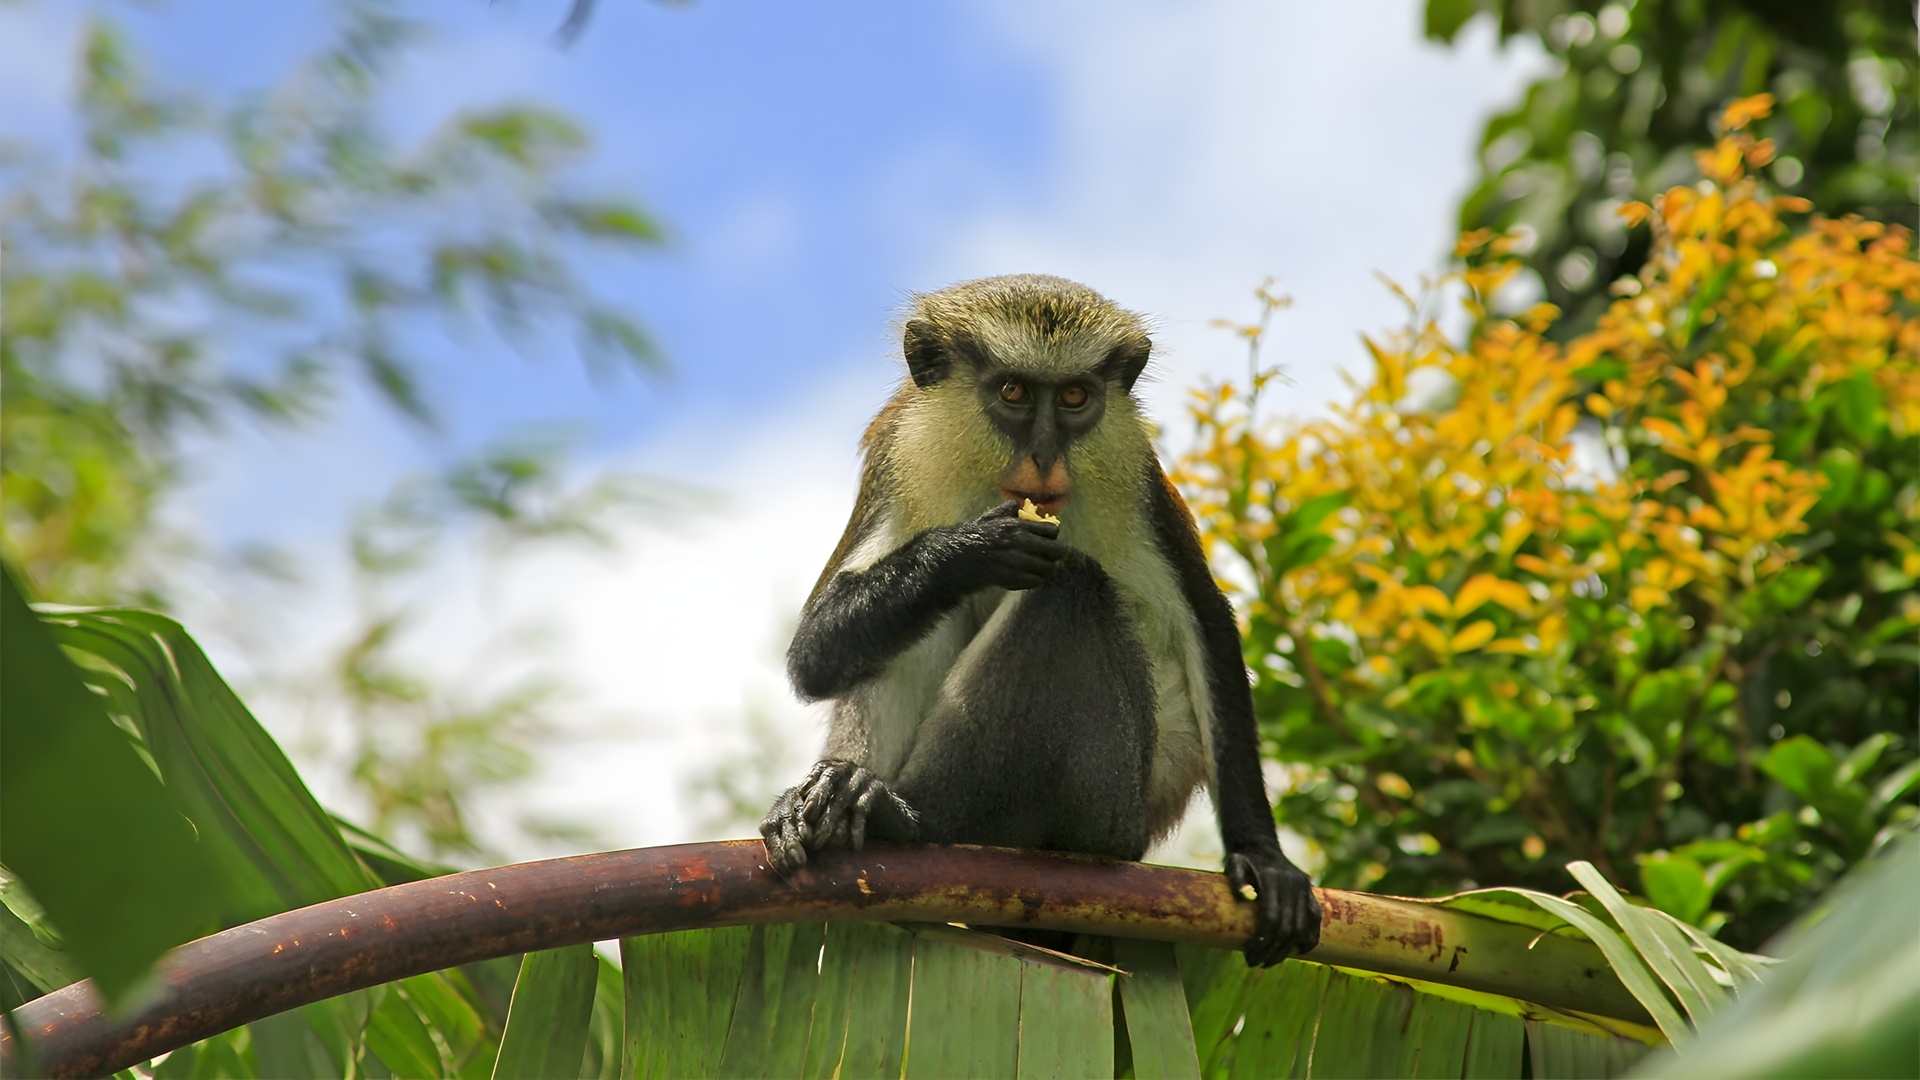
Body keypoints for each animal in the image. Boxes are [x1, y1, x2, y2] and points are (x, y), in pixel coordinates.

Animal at [760, 274, 1321, 965]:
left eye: (1075, 397)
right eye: (1013, 393)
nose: (1046, 457)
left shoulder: (1141, 483)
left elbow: (1207, 622)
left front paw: (1263, 858)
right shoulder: (892, 462)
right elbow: (813, 653)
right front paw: (967, 552)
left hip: (1108, 802)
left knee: (1068, 589)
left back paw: (908, 818)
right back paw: (843, 800)